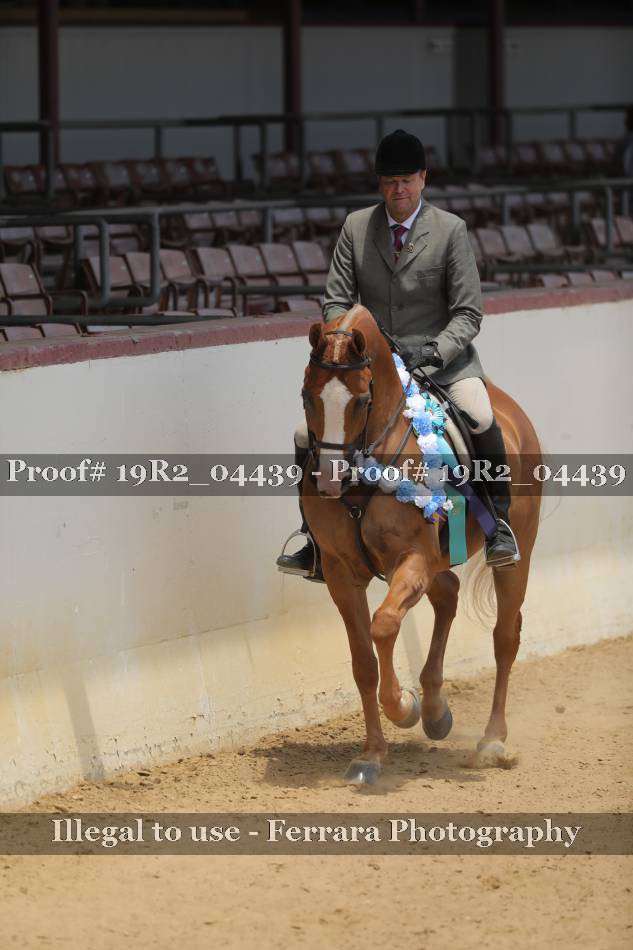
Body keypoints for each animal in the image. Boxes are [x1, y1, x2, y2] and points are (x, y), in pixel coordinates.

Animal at [300, 304, 542, 783]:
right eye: (306, 396)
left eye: (361, 400)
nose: (331, 482)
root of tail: (510, 409)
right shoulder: (341, 573)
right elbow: (363, 662)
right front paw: (372, 755)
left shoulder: (411, 559)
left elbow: (383, 626)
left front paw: (403, 708)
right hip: (434, 562)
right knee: (448, 595)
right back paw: (435, 711)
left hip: (511, 556)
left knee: (505, 637)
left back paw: (491, 741)